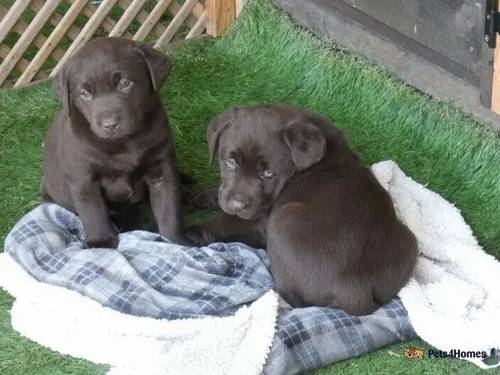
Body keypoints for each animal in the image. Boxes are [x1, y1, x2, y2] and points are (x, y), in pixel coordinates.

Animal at [42, 38, 186, 248]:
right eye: (84, 94)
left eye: (125, 84)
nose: (110, 124)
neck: (125, 143)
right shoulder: (84, 179)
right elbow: (93, 212)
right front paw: (101, 243)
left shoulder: (162, 169)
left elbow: (169, 210)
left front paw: (176, 241)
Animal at [189, 104, 420, 316]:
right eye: (230, 162)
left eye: (267, 173)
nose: (237, 205)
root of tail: (354, 288)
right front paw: (200, 197)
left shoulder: (261, 218)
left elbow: (225, 223)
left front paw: (191, 232)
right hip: (409, 242)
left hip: (282, 219)